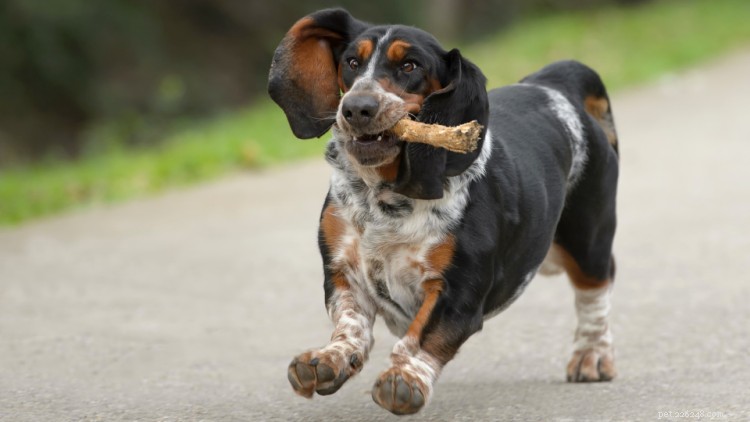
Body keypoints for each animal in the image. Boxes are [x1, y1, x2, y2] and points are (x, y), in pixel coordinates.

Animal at [268, 7, 620, 416]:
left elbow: (423, 336)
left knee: (595, 290)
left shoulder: (457, 290)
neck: (386, 198)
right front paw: (329, 358)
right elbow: (350, 324)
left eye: (410, 65)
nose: (356, 108)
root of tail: (554, 85)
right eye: (352, 62)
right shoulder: (343, 271)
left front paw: (405, 379)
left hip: (587, 237)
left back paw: (592, 357)